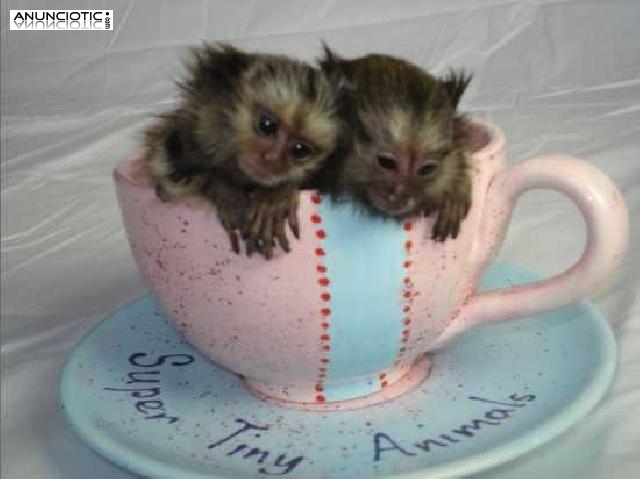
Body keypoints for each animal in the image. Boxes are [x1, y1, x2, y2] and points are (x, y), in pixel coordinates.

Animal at [143, 43, 342, 259]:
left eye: (300, 149)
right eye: (267, 126)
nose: (270, 159)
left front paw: (275, 197)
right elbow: (168, 182)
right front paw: (225, 191)